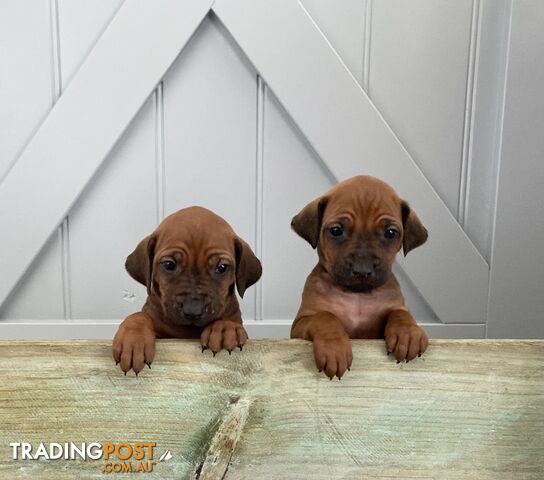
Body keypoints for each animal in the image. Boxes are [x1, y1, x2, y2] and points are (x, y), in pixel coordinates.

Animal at [112, 206, 262, 376]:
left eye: (222, 267)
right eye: (169, 265)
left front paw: (224, 327)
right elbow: (140, 316)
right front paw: (133, 339)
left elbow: (228, 320)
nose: (193, 311)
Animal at [288, 176, 430, 378]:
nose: (362, 270)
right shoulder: (300, 324)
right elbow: (324, 316)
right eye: (336, 231)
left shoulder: (387, 317)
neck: (358, 296)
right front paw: (334, 349)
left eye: (390, 233)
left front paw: (408, 333)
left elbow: (400, 313)